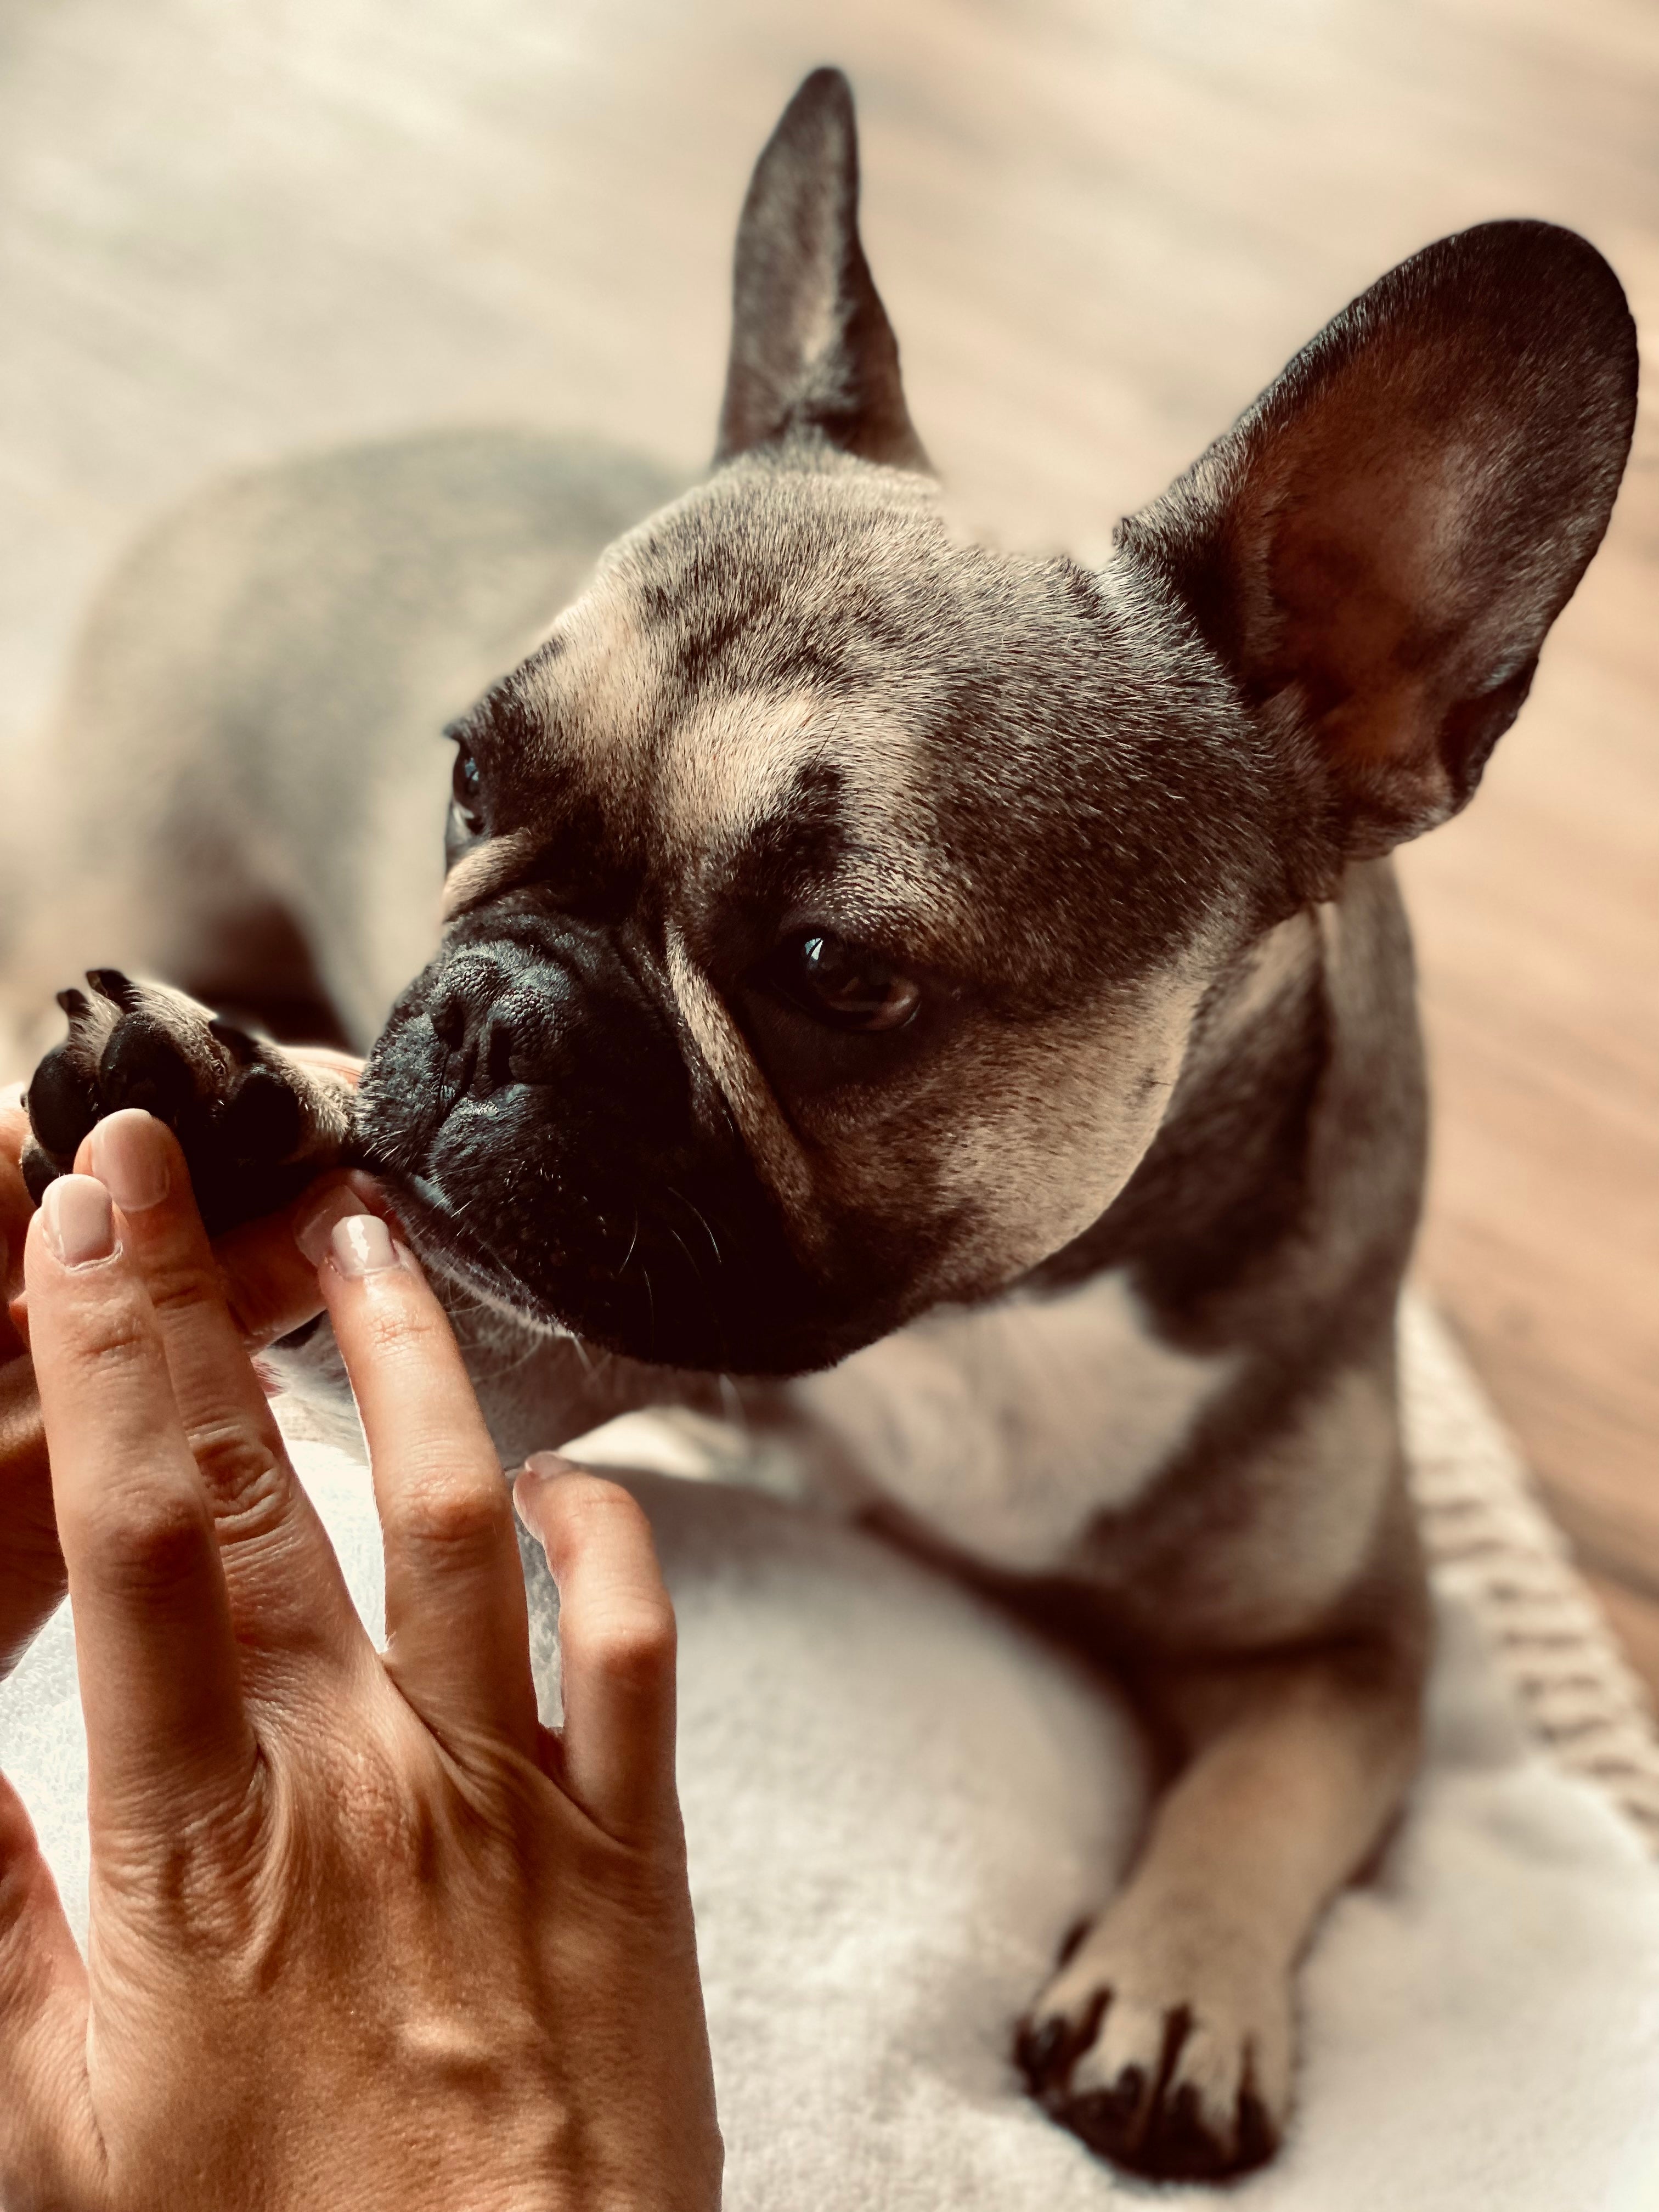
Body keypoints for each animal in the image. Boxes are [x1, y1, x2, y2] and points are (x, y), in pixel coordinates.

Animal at [9, 69, 1637, 2176]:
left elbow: (1262, 1788)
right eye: (470, 781)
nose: (480, 1004)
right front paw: (239, 1110)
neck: (1005, 1313)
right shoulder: (531, 1316)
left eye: (831, 969)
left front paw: (1178, 1987)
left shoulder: (1350, 1645)